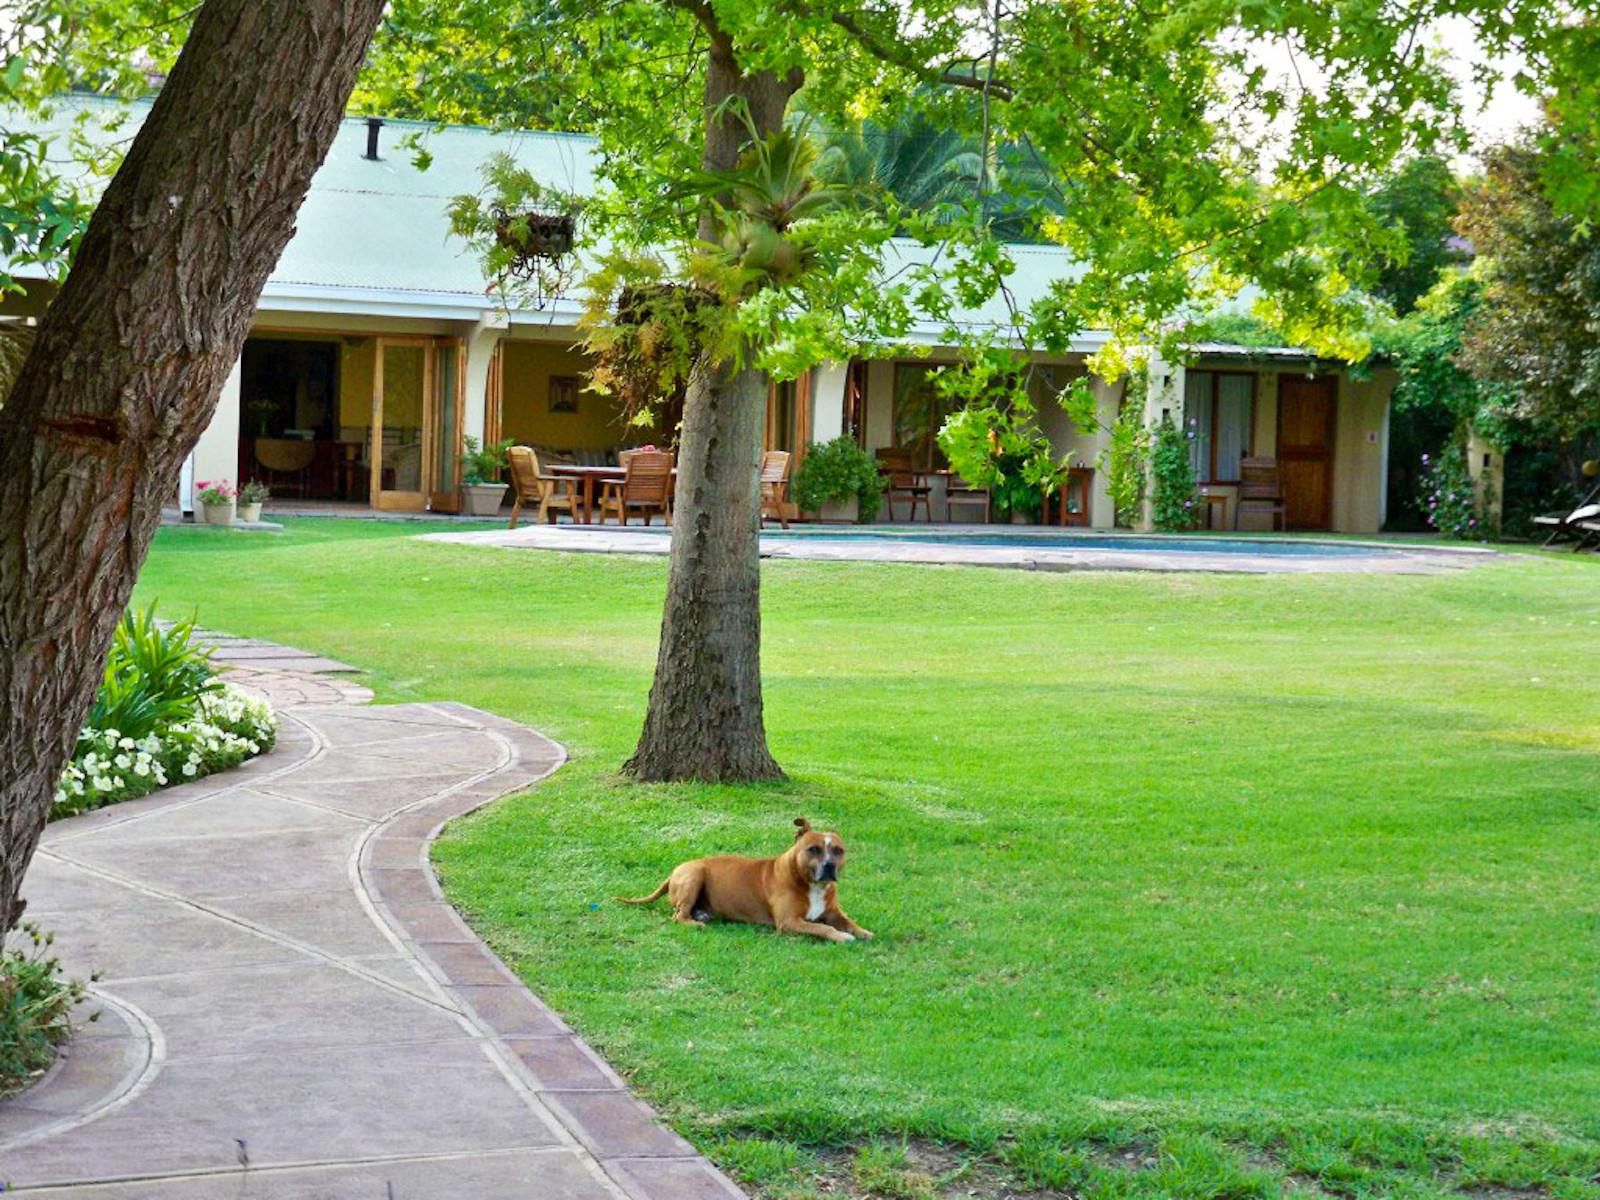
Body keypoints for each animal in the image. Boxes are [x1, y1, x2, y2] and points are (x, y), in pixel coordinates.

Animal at [620, 825, 876, 947]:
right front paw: (841, 936)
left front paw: (862, 932)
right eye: (813, 849)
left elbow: (848, 922)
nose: (830, 866)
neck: (812, 885)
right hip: (695, 875)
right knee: (678, 915)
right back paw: (695, 922)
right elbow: (824, 928)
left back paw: (701, 914)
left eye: (838, 850)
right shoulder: (789, 922)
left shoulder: (833, 912)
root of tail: (674, 871)